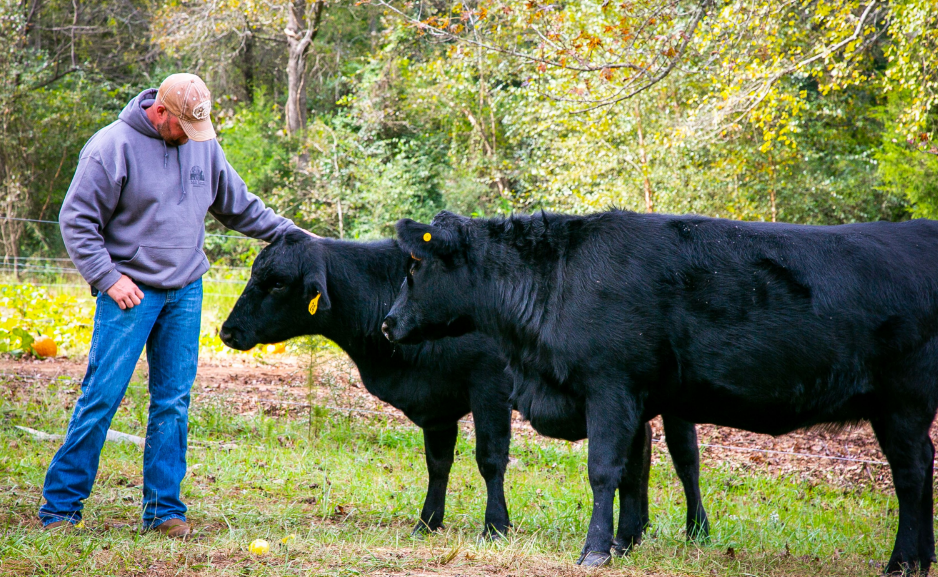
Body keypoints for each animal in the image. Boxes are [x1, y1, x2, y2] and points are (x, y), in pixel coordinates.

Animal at [216, 231, 704, 548]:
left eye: (277, 282)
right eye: (255, 274)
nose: (227, 330)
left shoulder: (490, 385)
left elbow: (489, 459)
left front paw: (495, 525)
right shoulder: (436, 403)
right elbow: (437, 464)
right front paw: (428, 521)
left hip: (675, 403)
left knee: (685, 461)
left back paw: (695, 529)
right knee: (637, 459)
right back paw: (631, 531)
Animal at [382, 208, 938, 572]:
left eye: (414, 266)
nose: (387, 323)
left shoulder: (609, 387)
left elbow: (603, 471)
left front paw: (596, 549)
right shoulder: (635, 398)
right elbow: (633, 472)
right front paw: (624, 542)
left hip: (903, 403)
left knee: (910, 475)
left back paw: (901, 562)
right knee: (922, 468)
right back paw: (922, 556)